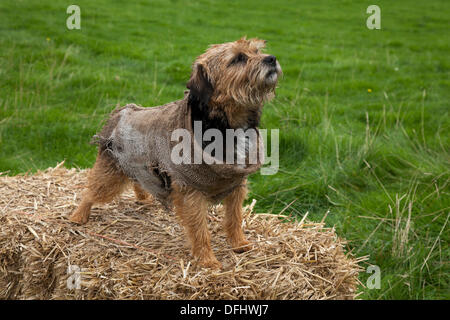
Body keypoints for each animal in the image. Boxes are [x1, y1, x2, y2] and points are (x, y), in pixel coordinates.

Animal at [69, 37, 282, 268]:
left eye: (257, 51)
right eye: (238, 58)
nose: (272, 58)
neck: (227, 125)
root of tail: (122, 112)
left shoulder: (236, 185)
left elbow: (234, 218)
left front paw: (239, 244)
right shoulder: (191, 191)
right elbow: (200, 229)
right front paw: (207, 260)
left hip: (139, 164)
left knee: (137, 180)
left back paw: (143, 198)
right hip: (110, 175)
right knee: (91, 191)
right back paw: (78, 216)